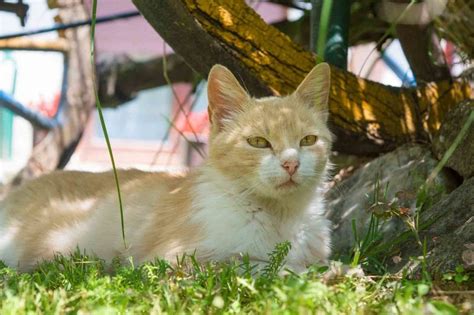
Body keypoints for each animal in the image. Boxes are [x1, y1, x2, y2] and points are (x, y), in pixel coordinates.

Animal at [0, 63, 334, 272]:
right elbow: (252, 265)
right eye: (258, 142)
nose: (291, 163)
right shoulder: (174, 258)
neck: (280, 215)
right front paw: (303, 274)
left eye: (308, 140)